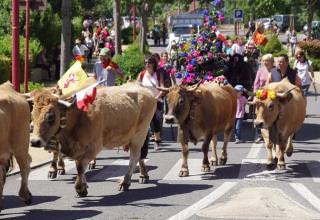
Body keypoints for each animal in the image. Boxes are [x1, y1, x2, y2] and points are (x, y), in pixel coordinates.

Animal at [29, 82, 157, 196]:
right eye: (32, 114)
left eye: (50, 116)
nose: (35, 141)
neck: (78, 114)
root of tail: (142, 88)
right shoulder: (76, 148)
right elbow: (78, 164)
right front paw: (84, 185)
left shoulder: (94, 146)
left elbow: (80, 166)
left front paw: (80, 188)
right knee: (140, 156)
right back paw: (143, 175)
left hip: (139, 135)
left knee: (134, 157)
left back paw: (125, 182)